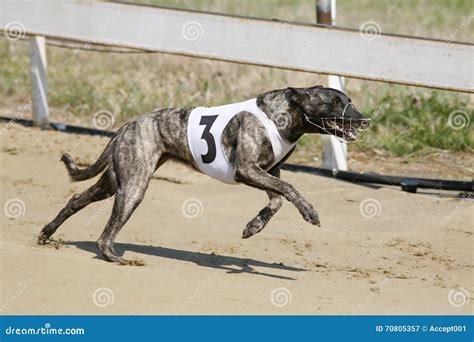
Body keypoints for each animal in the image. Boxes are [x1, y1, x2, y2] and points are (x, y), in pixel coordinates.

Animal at [38, 85, 370, 264]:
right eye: (336, 102)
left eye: (350, 101)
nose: (366, 120)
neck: (284, 115)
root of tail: (126, 126)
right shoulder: (247, 170)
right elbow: (289, 188)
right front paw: (309, 212)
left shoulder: (266, 170)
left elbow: (276, 199)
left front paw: (253, 226)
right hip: (133, 186)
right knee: (104, 235)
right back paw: (116, 257)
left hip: (116, 180)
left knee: (76, 198)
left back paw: (46, 233)